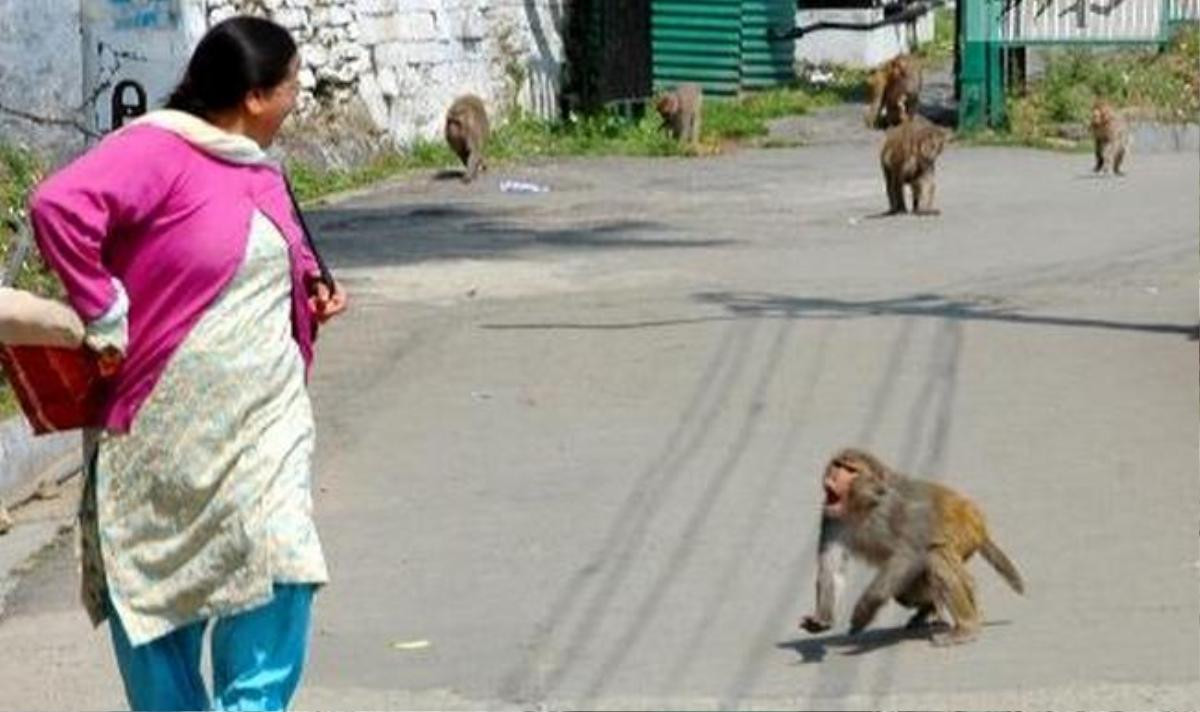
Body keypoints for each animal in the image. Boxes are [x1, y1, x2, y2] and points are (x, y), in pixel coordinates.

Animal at [796, 449, 1022, 643]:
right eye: (837, 465)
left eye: (851, 470)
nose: (834, 477)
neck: (864, 506)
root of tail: (977, 519)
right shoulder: (831, 517)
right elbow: (832, 567)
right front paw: (822, 618)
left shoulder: (894, 509)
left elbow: (910, 551)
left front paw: (864, 610)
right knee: (905, 593)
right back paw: (931, 609)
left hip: (965, 532)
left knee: (934, 555)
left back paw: (967, 626)